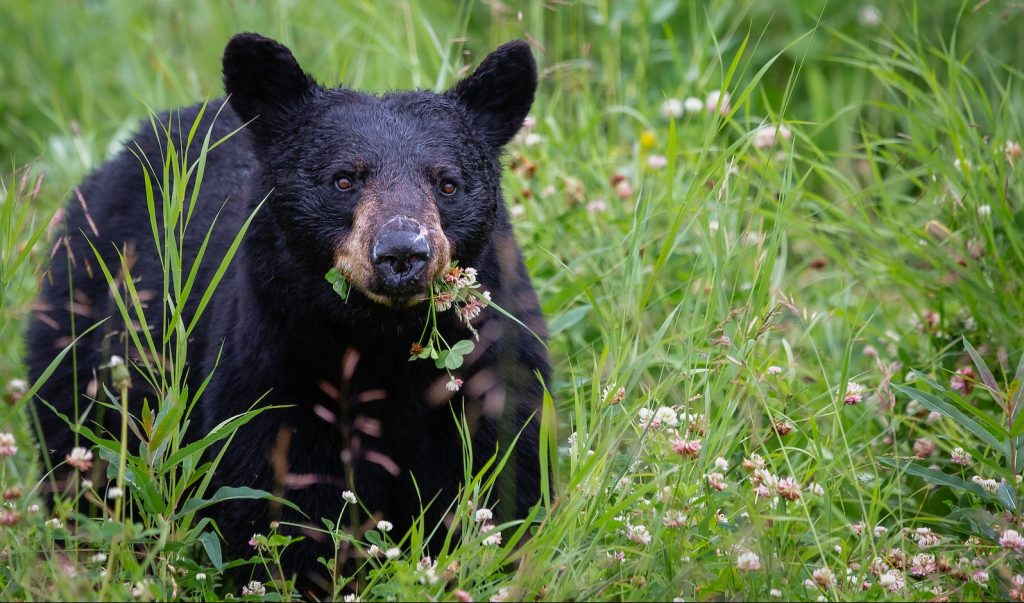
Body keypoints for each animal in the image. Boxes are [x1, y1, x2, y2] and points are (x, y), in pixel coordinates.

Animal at [26, 33, 549, 590]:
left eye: (447, 183)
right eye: (344, 180)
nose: (402, 253)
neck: (381, 341)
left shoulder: (490, 367)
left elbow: (504, 479)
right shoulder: (273, 369)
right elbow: (277, 500)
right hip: (80, 329)